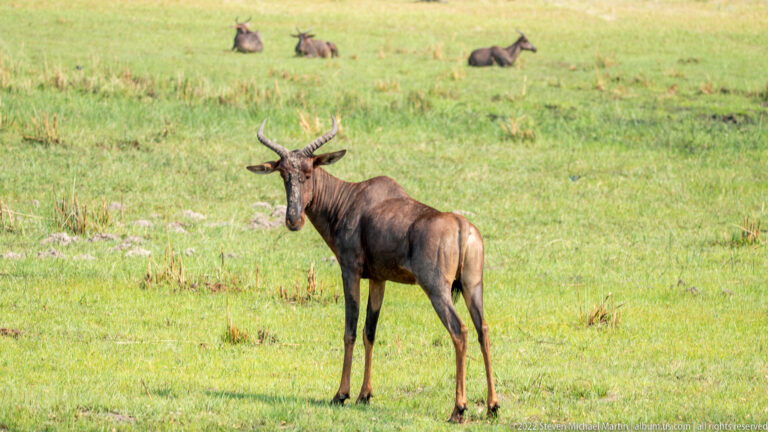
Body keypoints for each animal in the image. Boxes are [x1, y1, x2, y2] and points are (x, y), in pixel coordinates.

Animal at [246, 117, 499, 422]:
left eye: (308, 172)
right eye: (284, 174)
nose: (293, 220)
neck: (349, 199)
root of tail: (463, 228)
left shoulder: (350, 271)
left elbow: (350, 330)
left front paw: (341, 394)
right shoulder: (379, 279)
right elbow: (370, 331)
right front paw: (364, 395)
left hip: (437, 290)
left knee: (459, 330)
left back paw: (458, 409)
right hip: (474, 286)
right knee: (482, 330)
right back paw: (493, 405)